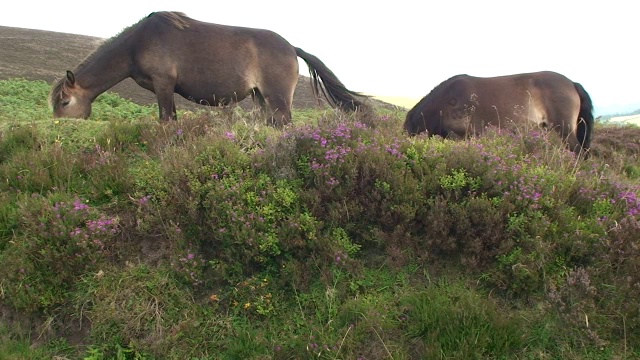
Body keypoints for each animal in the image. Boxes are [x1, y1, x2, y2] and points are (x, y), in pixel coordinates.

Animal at [48, 10, 368, 125]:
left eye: (65, 102)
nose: (58, 126)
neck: (137, 43)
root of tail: (292, 48)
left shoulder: (163, 85)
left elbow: (166, 119)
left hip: (277, 97)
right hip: (260, 96)